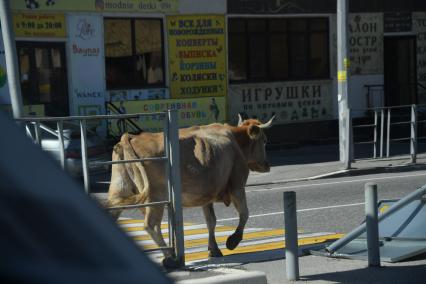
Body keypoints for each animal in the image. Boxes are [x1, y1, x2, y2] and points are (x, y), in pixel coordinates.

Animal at [106, 115, 272, 266]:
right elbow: (244, 213)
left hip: (120, 189)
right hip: (155, 197)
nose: (267, 165)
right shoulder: (237, 185)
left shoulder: (207, 195)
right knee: (151, 225)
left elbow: (211, 221)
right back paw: (170, 258)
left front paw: (214, 249)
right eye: (264, 140)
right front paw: (232, 241)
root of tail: (131, 137)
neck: (235, 139)